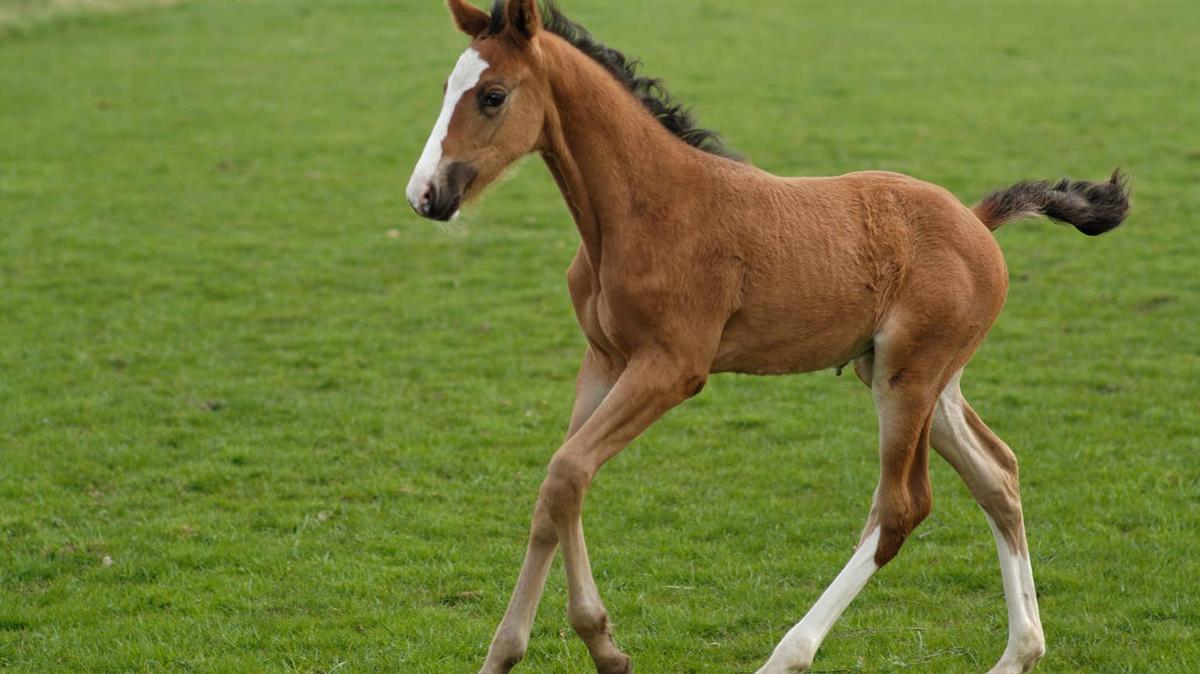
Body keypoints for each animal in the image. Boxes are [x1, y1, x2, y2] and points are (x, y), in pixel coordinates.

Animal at [404, 2, 1130, 672]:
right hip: (916, 378)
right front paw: (504, 654)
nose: (426, 195)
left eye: (493, 96)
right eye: (446, 87)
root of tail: (977, 220)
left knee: (901, 507)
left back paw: (787, 654)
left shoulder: (672, 367)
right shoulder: (604, 360)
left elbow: (568, 471)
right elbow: (554, 490)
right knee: (997, 475)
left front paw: (603, 643)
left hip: (909, 377)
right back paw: (1018, 653)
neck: (641, 208)